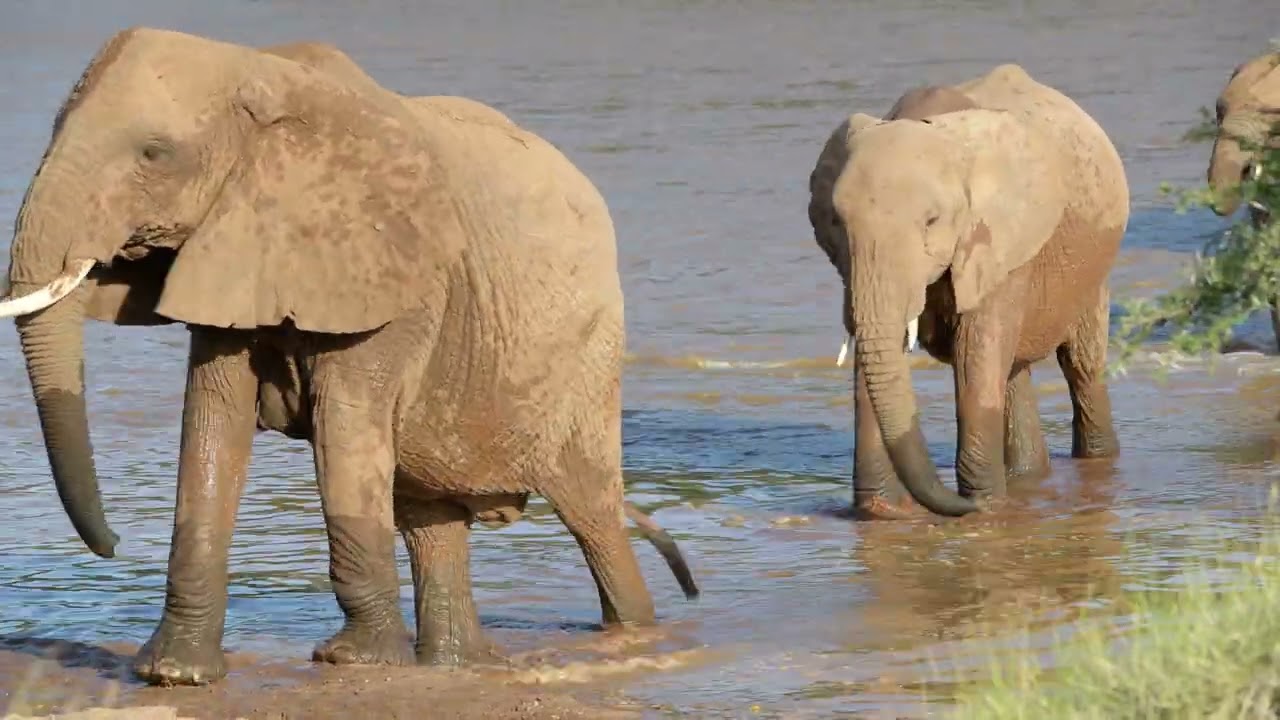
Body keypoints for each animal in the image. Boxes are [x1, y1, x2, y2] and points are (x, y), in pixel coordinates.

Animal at [0, 27, 698, 687]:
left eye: (154, 154)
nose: (115, 545)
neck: (258, 71)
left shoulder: (394, 280)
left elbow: (344, 422)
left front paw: (355, 663)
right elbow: (212, 421)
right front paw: (174, 674)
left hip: (588, 361)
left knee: (591, 513)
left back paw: (634, 635)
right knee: (430, 517)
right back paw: (455, 666)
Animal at [807, 65, 1127, 519]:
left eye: (932, 221)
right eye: (835, 221)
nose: (958, 504)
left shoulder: (999, 242)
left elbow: (976, 357)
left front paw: (984, 506)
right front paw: (882, 513)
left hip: (1094, 267)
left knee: (1081, 366)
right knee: (1013, 372)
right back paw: (1026, 478)